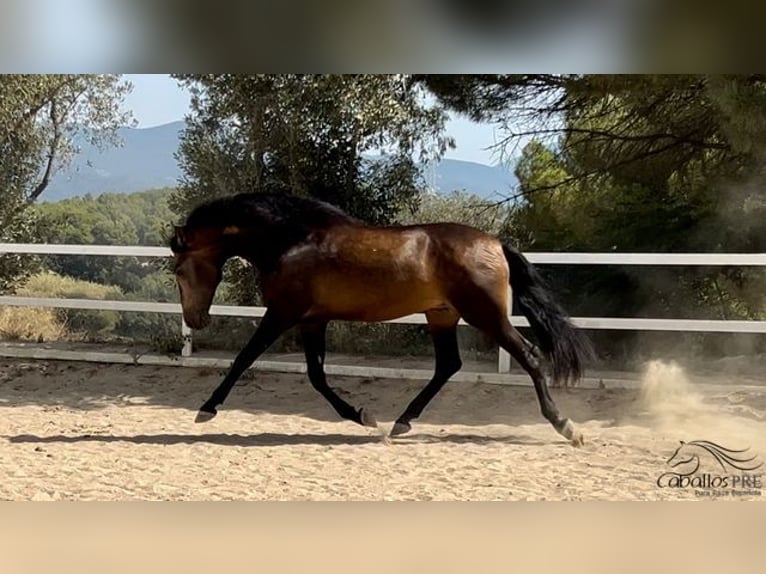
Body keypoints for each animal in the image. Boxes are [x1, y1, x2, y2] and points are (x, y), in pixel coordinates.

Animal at [170, 191, 592, 448]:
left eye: (177, 270)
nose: (196, 318)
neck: (291, 241)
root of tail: (496, 244)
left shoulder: (282, 314)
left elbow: (244, 358)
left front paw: (206, 409)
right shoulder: (312, 320)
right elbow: (317, 376)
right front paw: (362, 416)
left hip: (485, 315)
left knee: (530, 356)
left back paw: (565, 426)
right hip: (442, 315)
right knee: (448, 365)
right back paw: (401, 422)